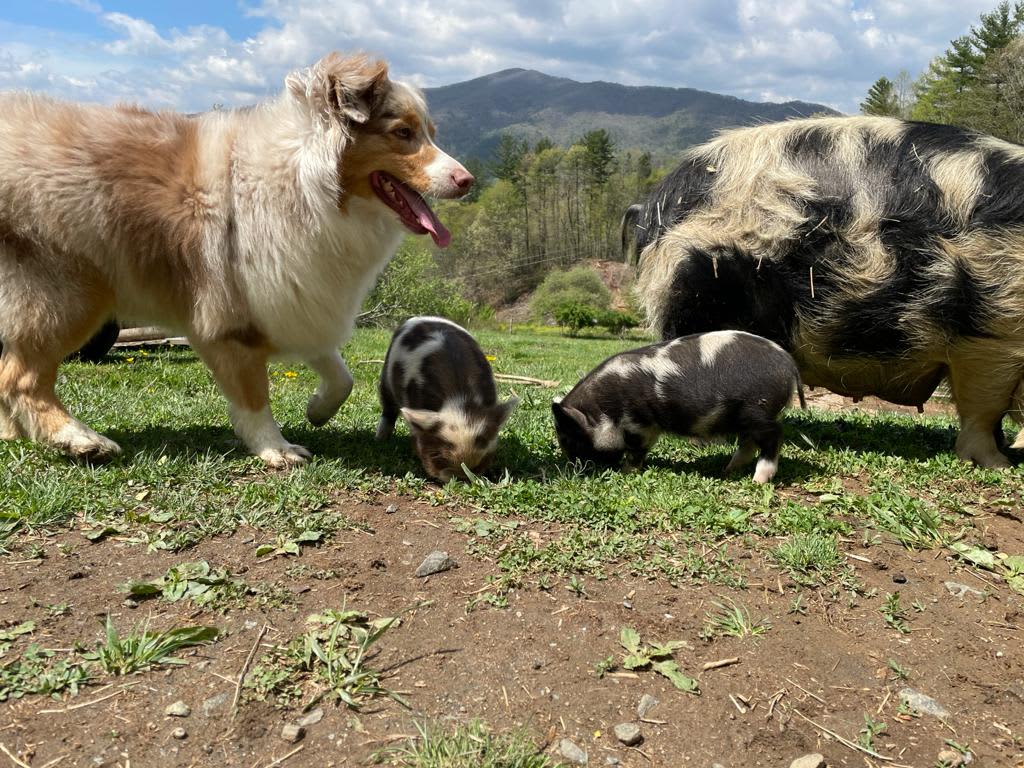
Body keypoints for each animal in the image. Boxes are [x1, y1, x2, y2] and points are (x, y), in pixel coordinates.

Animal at [376, 317, 520, 481]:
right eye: (437, 456)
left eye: (484, 457)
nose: (461, 478)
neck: (459, 401)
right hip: (386, 376)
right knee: (388, 408)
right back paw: (380, 438)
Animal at [557, 329, 802, 483]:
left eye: (572, 439)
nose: (575, 469)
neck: (604, 408)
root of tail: (788, 363)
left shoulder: (640, 423)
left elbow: (637, 449)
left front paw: (627, 472)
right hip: (744, 415)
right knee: (749, 443)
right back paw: (727, 471)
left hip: (758, 409)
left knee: (773, 436)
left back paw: (757, 480)